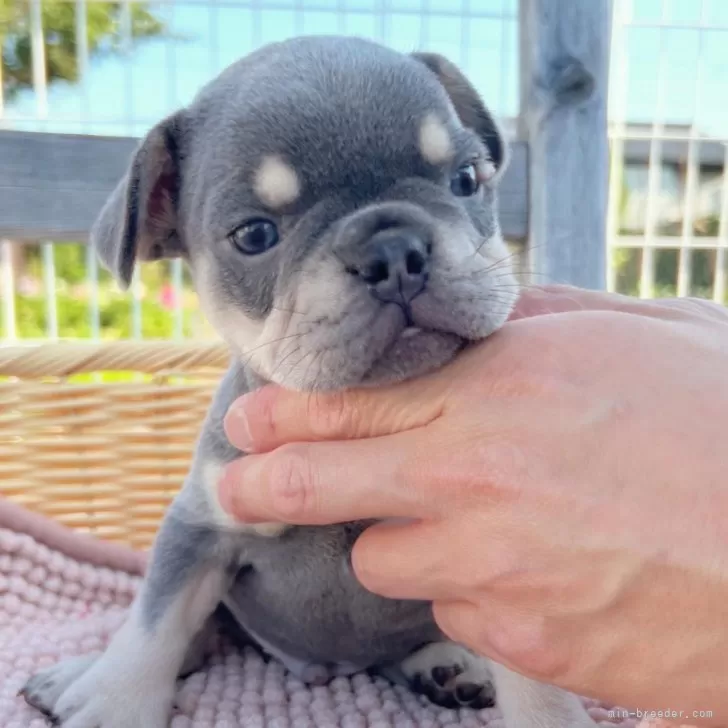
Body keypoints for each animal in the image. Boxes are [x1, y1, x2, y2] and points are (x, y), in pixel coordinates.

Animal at [21, 37, 596, 728]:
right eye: (254, 235)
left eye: (466, 179)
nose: (393, 250)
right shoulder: (200, 529)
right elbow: (155, 624)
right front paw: (114, 700)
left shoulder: (499, 570)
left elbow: (533, 673)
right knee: (194, 635)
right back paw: (78, 674)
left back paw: (448, 665)